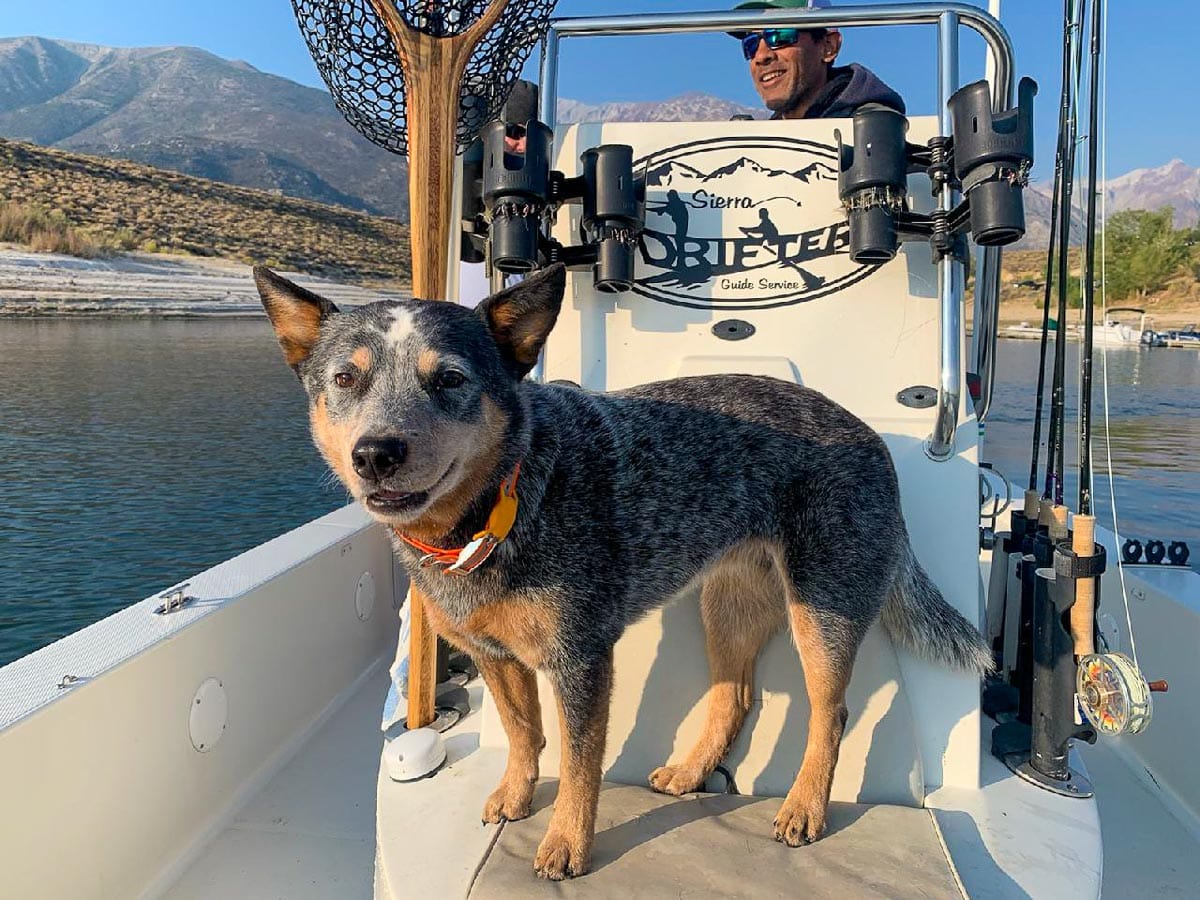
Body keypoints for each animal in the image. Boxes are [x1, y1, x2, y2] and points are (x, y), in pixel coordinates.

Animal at [255, 260, 993, 883]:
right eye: (345, 380)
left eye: (451, 380)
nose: (375, 453)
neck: (499, 504)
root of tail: (872, 437)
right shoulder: (495, 654)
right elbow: (522, 733)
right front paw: (515, 796)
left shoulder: (580, 658)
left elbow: (581, 765)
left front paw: (566, 845)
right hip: (726, 601)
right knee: (737, 694)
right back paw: (692, 771)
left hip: (823, 605)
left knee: (830, 713)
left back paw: (805, 807)